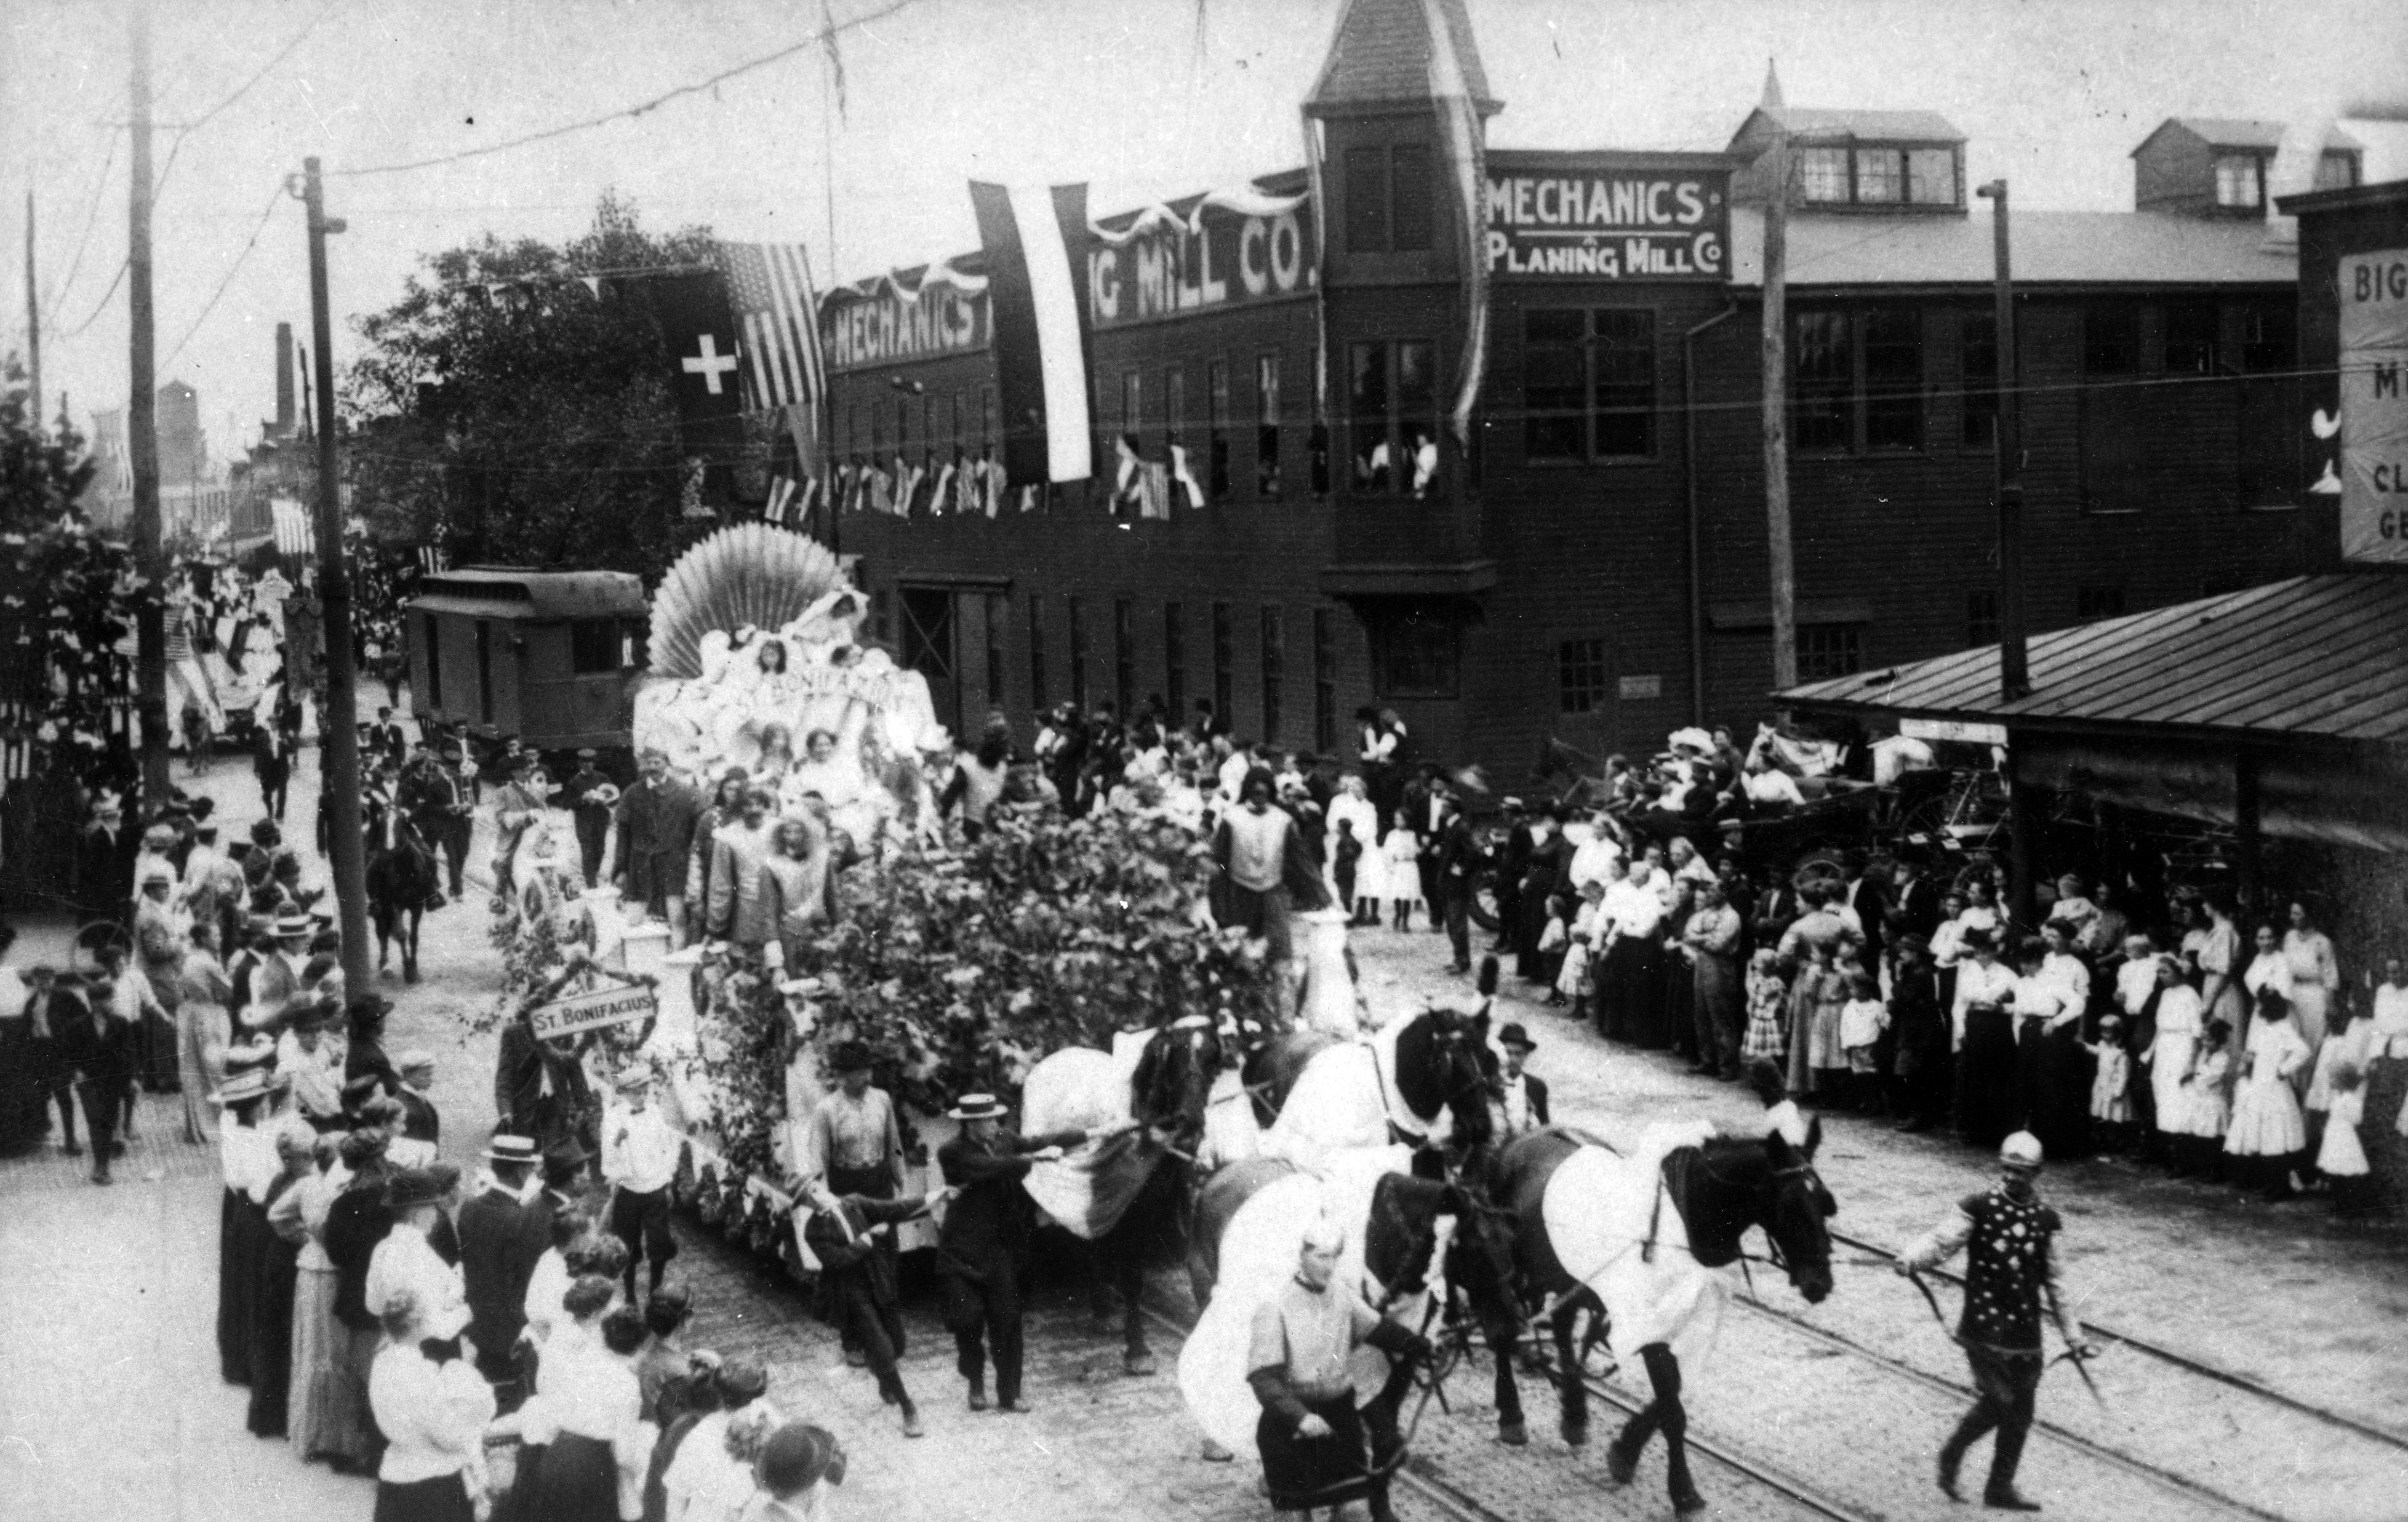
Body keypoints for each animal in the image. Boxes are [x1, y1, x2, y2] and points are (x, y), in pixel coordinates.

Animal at [366, 805, 441, 983]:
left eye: (401, 823)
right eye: (382, 824)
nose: (389, 850)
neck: (403, 870)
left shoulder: (417, 905)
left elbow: (413, 936)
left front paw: (414, 969)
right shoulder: (392, 904)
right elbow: (401, 934)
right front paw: (408, 970)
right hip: (380, 906)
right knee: (382, 931)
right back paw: (385, 966)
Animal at [1018, 1014, 1225, 1375]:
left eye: (1212, 1061)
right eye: (1173, 1060)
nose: (1190, 1125)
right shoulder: (1131, 1207)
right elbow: (1132, 1277)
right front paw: (1138, 1351)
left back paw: (1102, 1309)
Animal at [1486, 1121, 1835, 1515]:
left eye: (1826, 1204)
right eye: (1792, 1205)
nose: (1820, 1282)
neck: (1679, 1226)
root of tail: (1520, 1138)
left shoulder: (1686, 1324)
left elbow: (1673, 1393)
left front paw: (1625, 1452)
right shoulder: (1650, 1327)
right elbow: (1672, 1409)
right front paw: (1683, 1491)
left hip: (1567, 1277)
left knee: (1561, 1324)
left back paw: (1574, 1415)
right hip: (1508, 1267)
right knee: (1502, 1331)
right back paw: (1512, 1415)